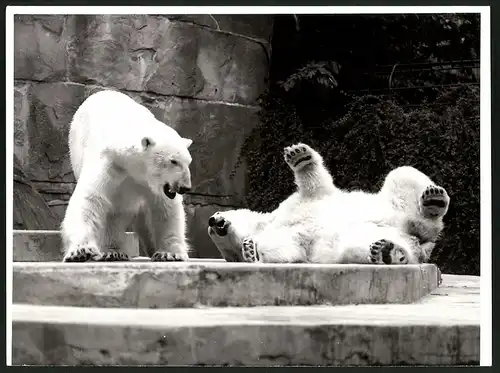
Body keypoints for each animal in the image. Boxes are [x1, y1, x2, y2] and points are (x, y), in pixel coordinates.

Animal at [61, 90, 193, 262]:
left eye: (188, 162)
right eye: (173, 161)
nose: (185, 187)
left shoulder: (151, 185)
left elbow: (165, 209)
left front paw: (169, 253)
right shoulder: (110, 165)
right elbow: (90, 199)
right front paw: (81, 251)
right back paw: (113, 252)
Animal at [207, 141, 450, 264]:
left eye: (216, 218)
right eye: (212, 232)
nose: (213, 221)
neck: (267, 223)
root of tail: (422, 241)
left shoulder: (300, 202)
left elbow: (315, 186)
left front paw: (300, 155)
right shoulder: (292, 236)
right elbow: (287, 248)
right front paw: (251, 251)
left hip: (397, 207)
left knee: (403, 174)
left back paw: (433, 200)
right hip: (376, 236)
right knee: (354, 248)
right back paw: (388, 252)